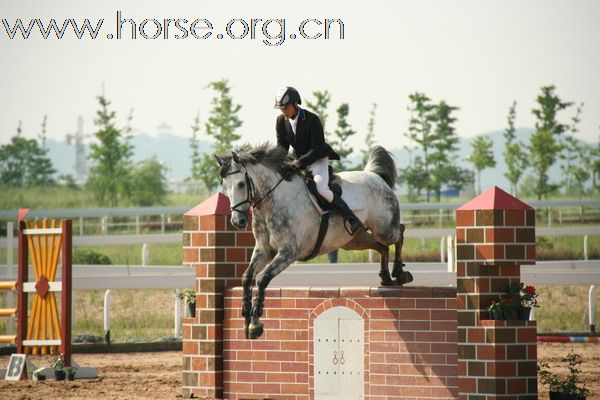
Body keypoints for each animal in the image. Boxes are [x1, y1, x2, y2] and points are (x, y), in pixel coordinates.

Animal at [217, 143, 412, 338]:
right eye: (225, 187)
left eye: (241, 184)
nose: (238, 221)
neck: (271, 202)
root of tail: (375, 176)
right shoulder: (264, 251)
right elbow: (246, 278)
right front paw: (246, 318)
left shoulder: (288, 252)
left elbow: (263, 279)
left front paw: (255, 324)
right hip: (354, 241)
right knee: (382, 247)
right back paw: (386, 277)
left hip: (384, 229)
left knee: (399, 232)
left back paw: (399, 273)